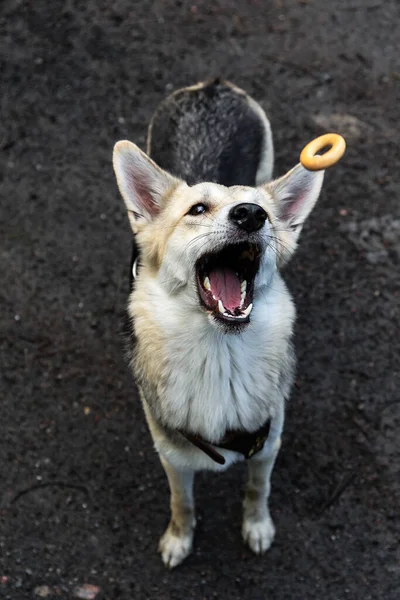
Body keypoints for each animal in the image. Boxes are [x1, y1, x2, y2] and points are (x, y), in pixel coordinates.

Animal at [112, 78, 324, 568]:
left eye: (261, 214)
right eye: (196, 210)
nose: (251, 214)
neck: (218, 353)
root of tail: (212, 86)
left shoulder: (268, 446)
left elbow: (257, 489)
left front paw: (257, 527)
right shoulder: (172, 456)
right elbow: (182, 502)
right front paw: (179, 538)